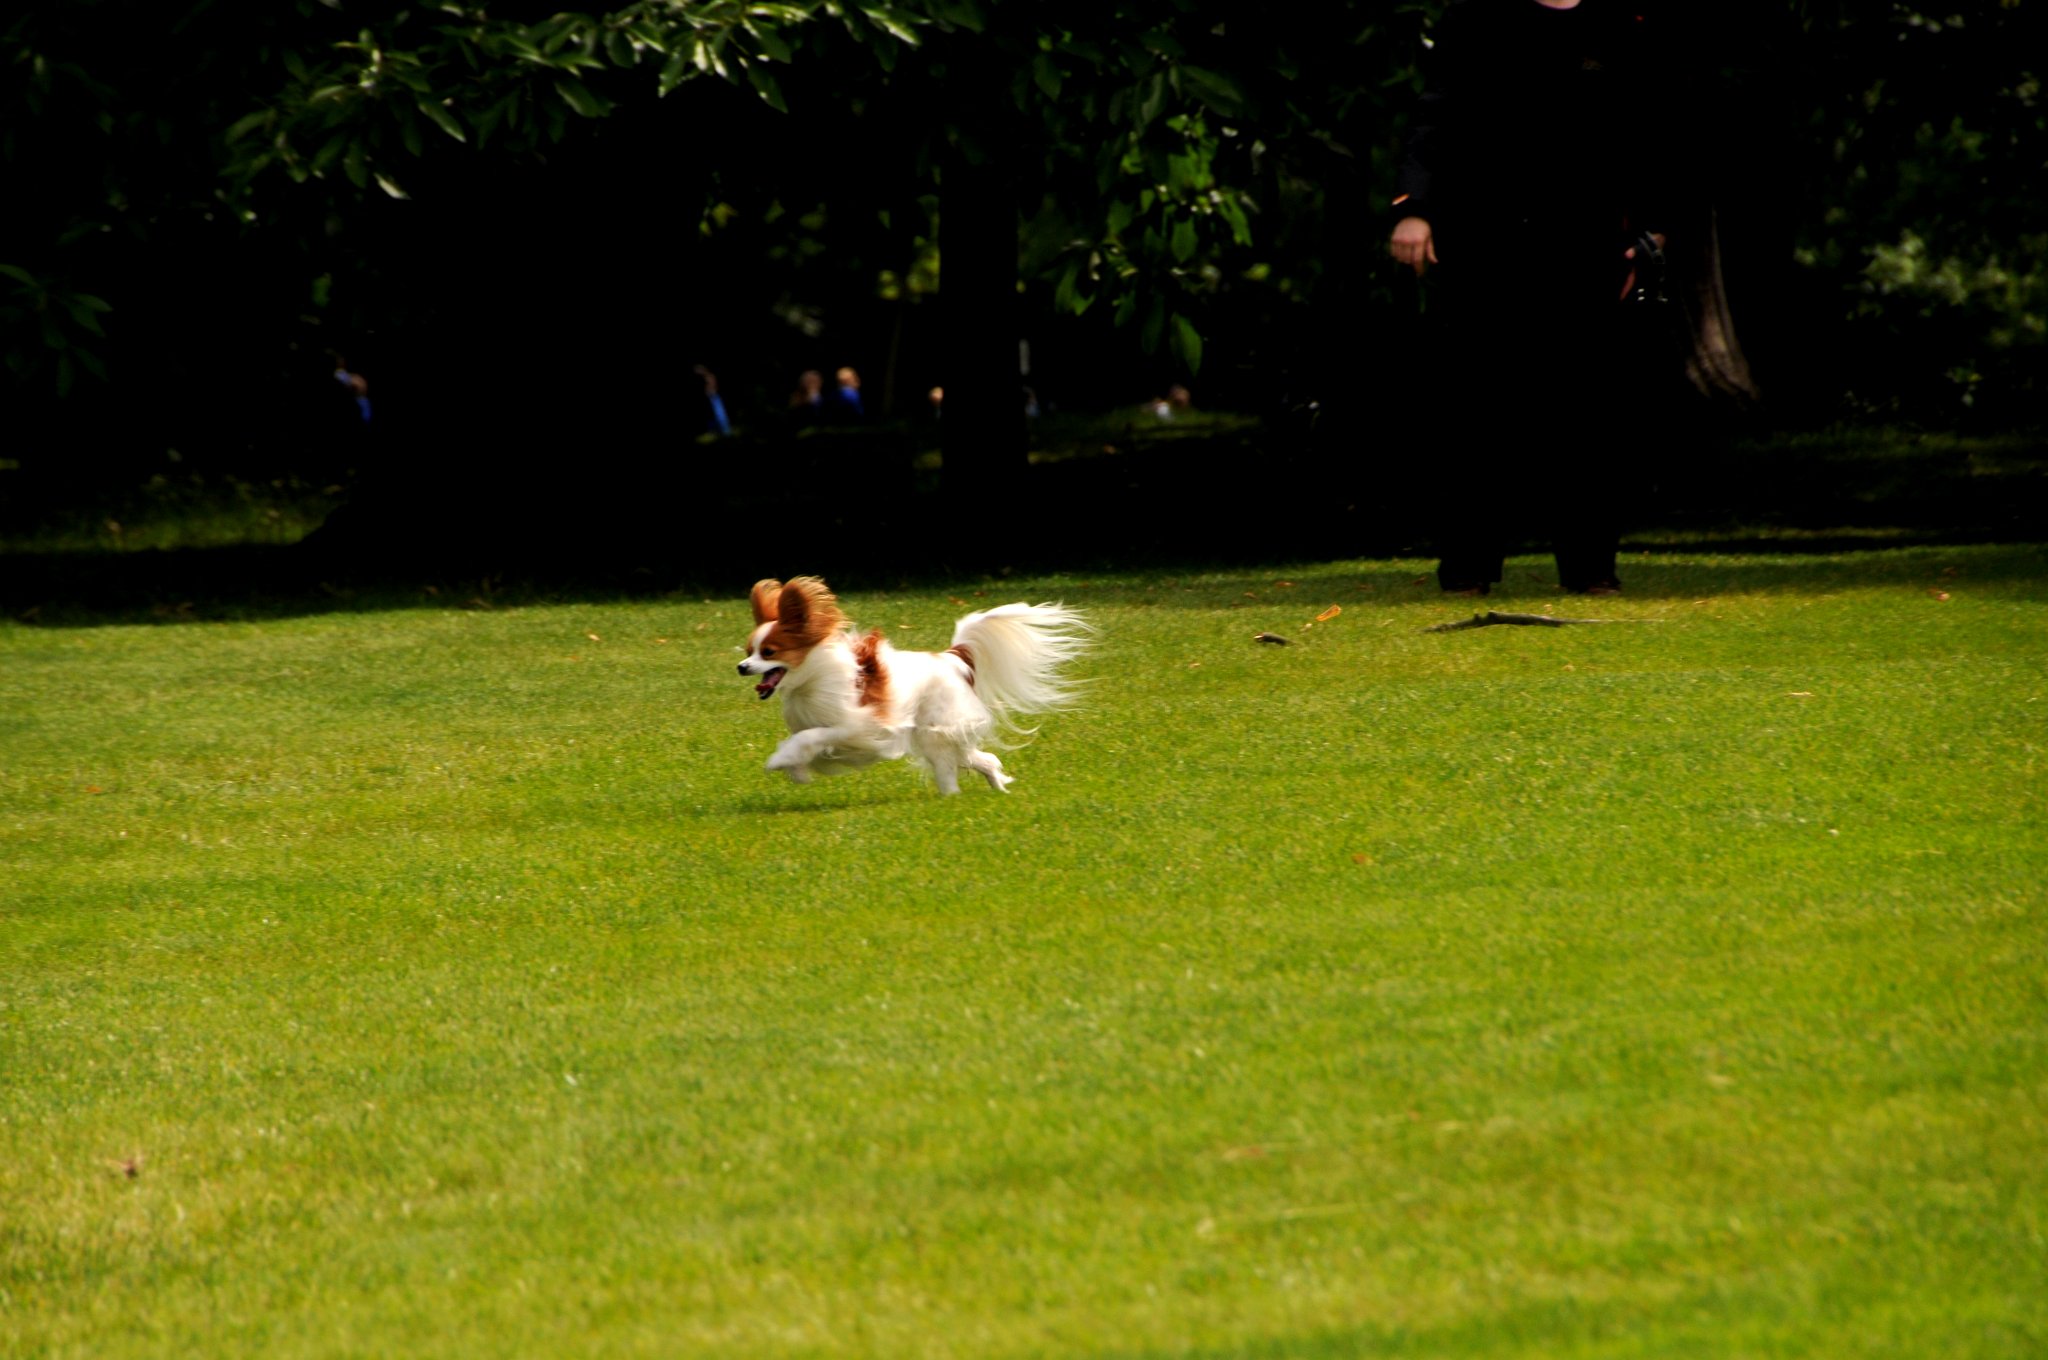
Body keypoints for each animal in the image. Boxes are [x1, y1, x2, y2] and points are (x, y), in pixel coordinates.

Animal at [733, 577, 1089, 798]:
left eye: (769, 652)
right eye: (749, 650)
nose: (742, 667)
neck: (811, 679)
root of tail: (950, 657)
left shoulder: (859, 725)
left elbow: (809, 737)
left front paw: (780, 761)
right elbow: (799, 743)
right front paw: (796, 770)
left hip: (937, 729)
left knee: (957, 766)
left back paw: (959, 795)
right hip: (938, 735)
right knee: (980, 759)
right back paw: (991, 786)